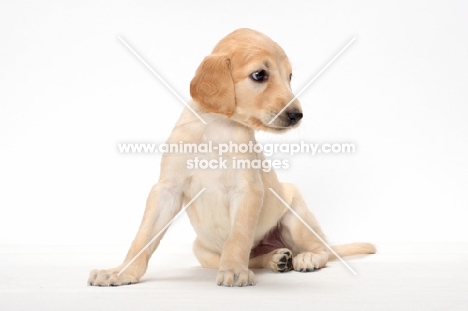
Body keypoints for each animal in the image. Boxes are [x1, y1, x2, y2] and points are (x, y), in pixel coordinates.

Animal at [88, 28, 374, 288]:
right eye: (259, 75)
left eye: (289, 76)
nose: (296, 115)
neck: (217, 128)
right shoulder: (166, 190)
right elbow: (143, 237)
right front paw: (121, 272)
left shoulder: (247, 191)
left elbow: (237, 237)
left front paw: (234, 271)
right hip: (201, 250)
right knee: (255, 257)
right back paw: (277, 259)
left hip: (295, 215)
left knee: (321, 248)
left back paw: (306, 258)